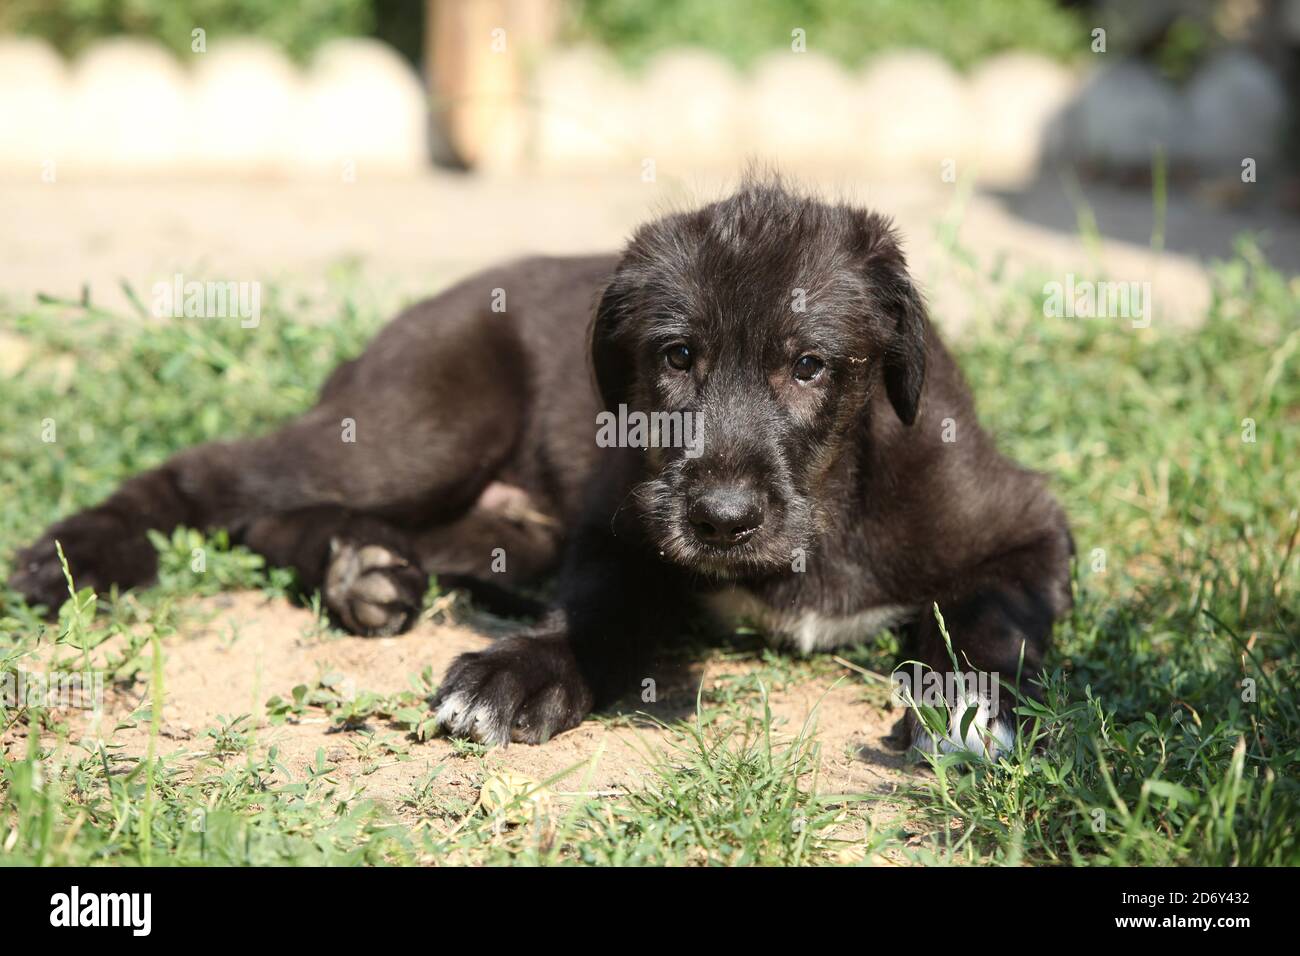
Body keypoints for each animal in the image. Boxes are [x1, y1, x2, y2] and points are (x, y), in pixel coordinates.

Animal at [7, 178, 1066, 754]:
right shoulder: (621, 525)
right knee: (219, 478)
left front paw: (963, 706)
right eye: (676, 356)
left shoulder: (1025, 524)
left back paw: (363, 571)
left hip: (496, 516)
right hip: (420, 428)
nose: (721, 519)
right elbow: (601, 614)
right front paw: (527, 671)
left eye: (809, 365)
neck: (833, 506)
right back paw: (71, 560)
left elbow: (990, 615)